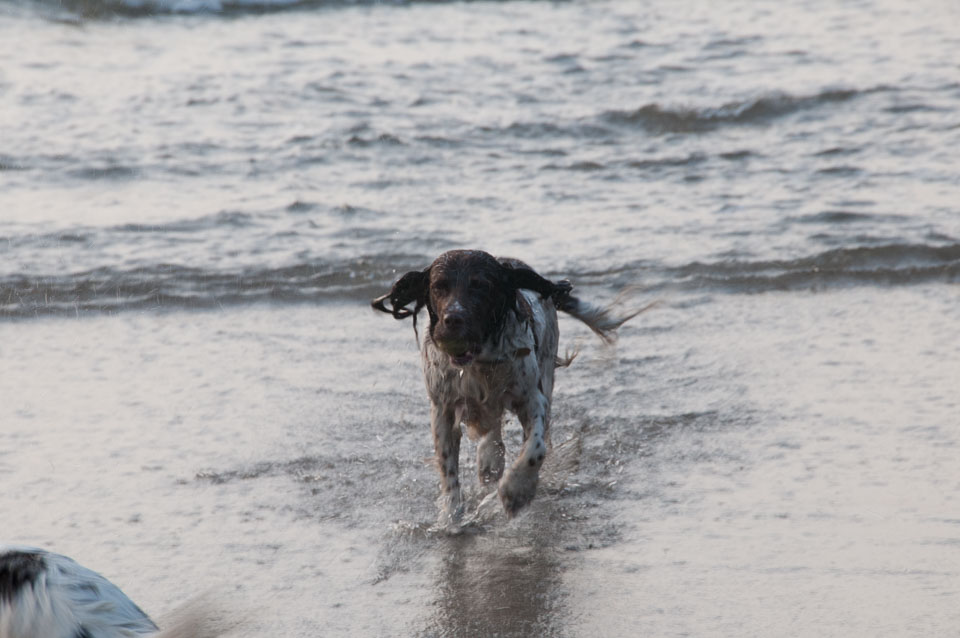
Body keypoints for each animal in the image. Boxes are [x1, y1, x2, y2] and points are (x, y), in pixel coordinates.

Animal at [376, 249, 644, 520]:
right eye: (439, 286)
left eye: (480, 286)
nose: (453, 320)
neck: (478, 360)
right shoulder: (443, 407)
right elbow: (447, 468)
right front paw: (452, 515)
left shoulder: (532, 398)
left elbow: (535, 447)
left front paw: (517, 491)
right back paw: (489, 460)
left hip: (546, 373)